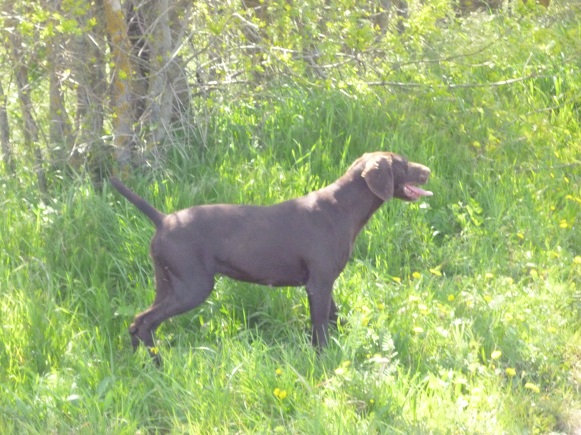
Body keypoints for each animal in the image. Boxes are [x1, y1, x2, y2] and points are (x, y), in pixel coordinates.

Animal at [111, 152, 432, 362]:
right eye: (403, 164)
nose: (428, 170)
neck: (342, 208)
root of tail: (163, 220)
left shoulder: (325, 282)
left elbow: (334, 319)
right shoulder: (319, 283)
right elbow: (320, 329)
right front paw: (323, 362)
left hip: (167, 283)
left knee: (138, 323)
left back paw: (141, 364)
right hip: (193, 287)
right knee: (145, 322)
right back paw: (157, 365)